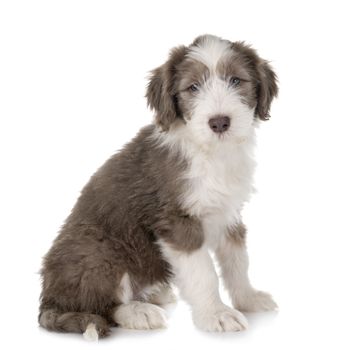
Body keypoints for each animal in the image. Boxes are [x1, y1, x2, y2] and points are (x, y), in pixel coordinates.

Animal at [38, 34, 278, 340]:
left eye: (236, 80)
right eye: (193, 87)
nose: (220, 122)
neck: (211, 153)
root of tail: (48, 299)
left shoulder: (229, 214)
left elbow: (238, 261)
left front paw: (248, 298)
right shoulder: (176, 222)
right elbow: (204, 273)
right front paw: (216, 314)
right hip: (98, 250)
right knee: (104, 307)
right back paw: (139, 312)